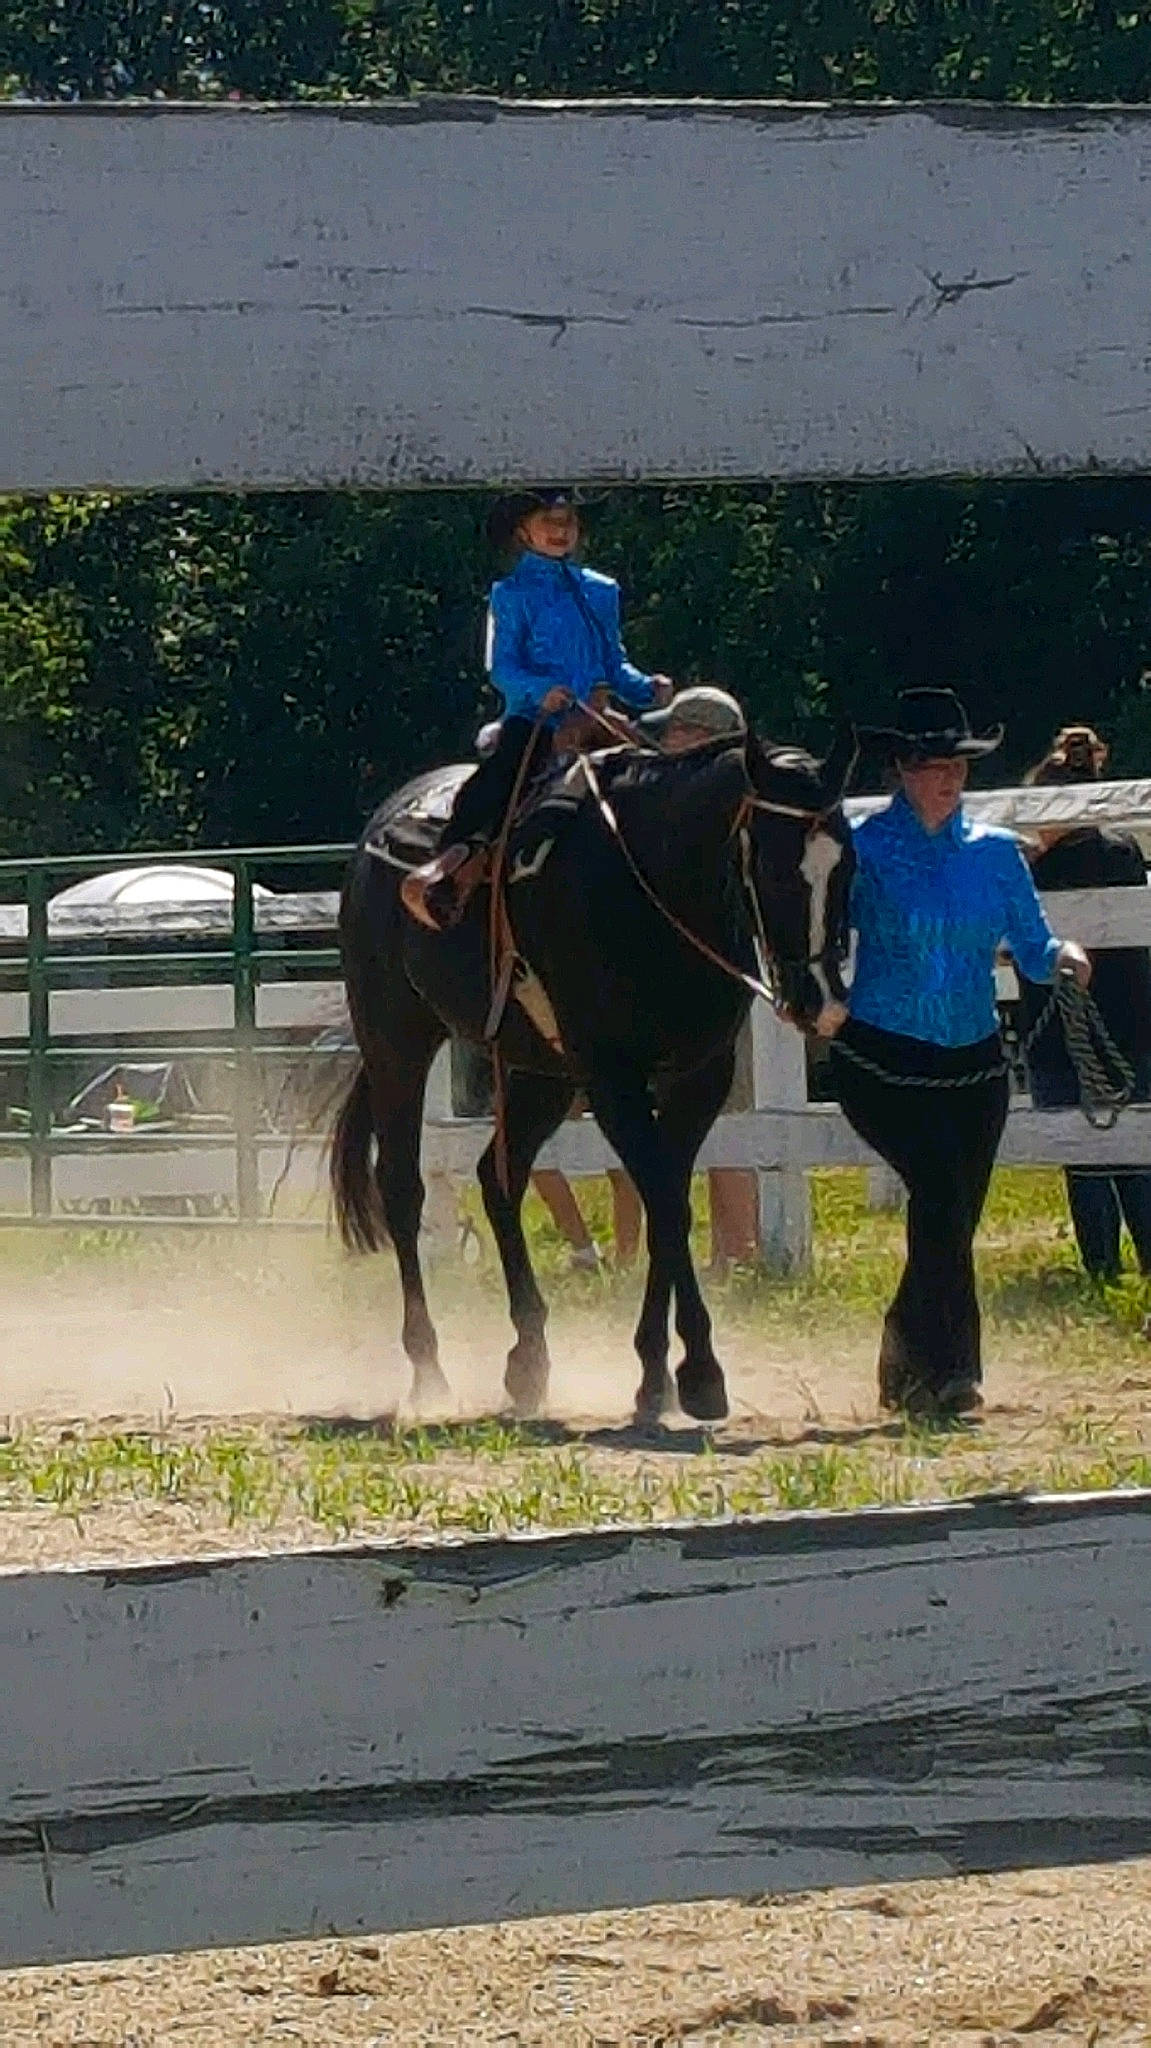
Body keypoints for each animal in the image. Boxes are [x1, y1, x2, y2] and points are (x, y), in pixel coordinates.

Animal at [330, 726, 856, 1426]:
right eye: (773, 868)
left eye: (848, 866)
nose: (819, 1004)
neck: (651, 892)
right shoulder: (614, 1080)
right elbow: (665, 1201)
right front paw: (700, 1373)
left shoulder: (700, 1078)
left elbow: (668, 1201)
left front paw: (657, 1375)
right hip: (396, 1043)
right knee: (402, 1189)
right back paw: (429, 1371)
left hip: (541, 1074)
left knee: (498, 1181)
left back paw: (528, 1360)